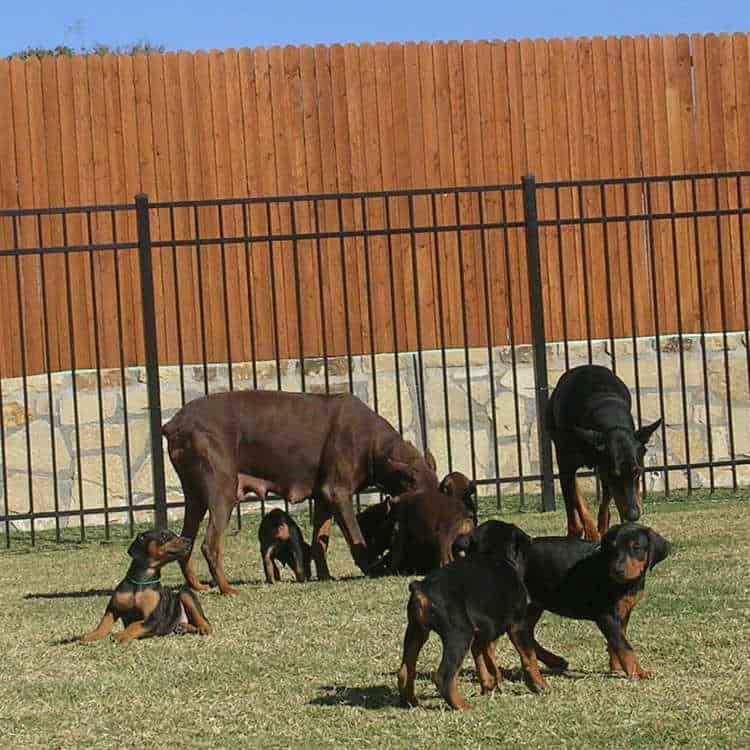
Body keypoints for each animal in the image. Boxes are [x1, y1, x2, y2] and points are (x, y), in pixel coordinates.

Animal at [81, 528, 212, 648]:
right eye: (164, 536)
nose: (188, 541)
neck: (142, 581)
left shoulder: (153, 618)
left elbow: (135, 625)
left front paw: (121, 635)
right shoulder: (113, 608)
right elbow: (104, 623)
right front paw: (91, 636)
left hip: (185, 593)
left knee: (204, 619)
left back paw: (203, 628)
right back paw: (183, 627)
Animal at [400, 528, 548, 712]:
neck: (493, 556)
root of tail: (422, 587)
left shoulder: (483, 633)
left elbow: (483, 659)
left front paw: (490, 684)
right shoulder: (518, 626)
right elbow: (529, 658)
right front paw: (541, 685)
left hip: (416, 632)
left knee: (405, 671)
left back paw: (411, 702)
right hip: (460, 634)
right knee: (444, 677)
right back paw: (463, 706)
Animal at [548, 364, 664, 540]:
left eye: (637, 472)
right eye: (615, 474)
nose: (633, 515)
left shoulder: (605, 469)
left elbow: (606, 503)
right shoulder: (567, 464)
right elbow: (577, 503)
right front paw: (591, 533)